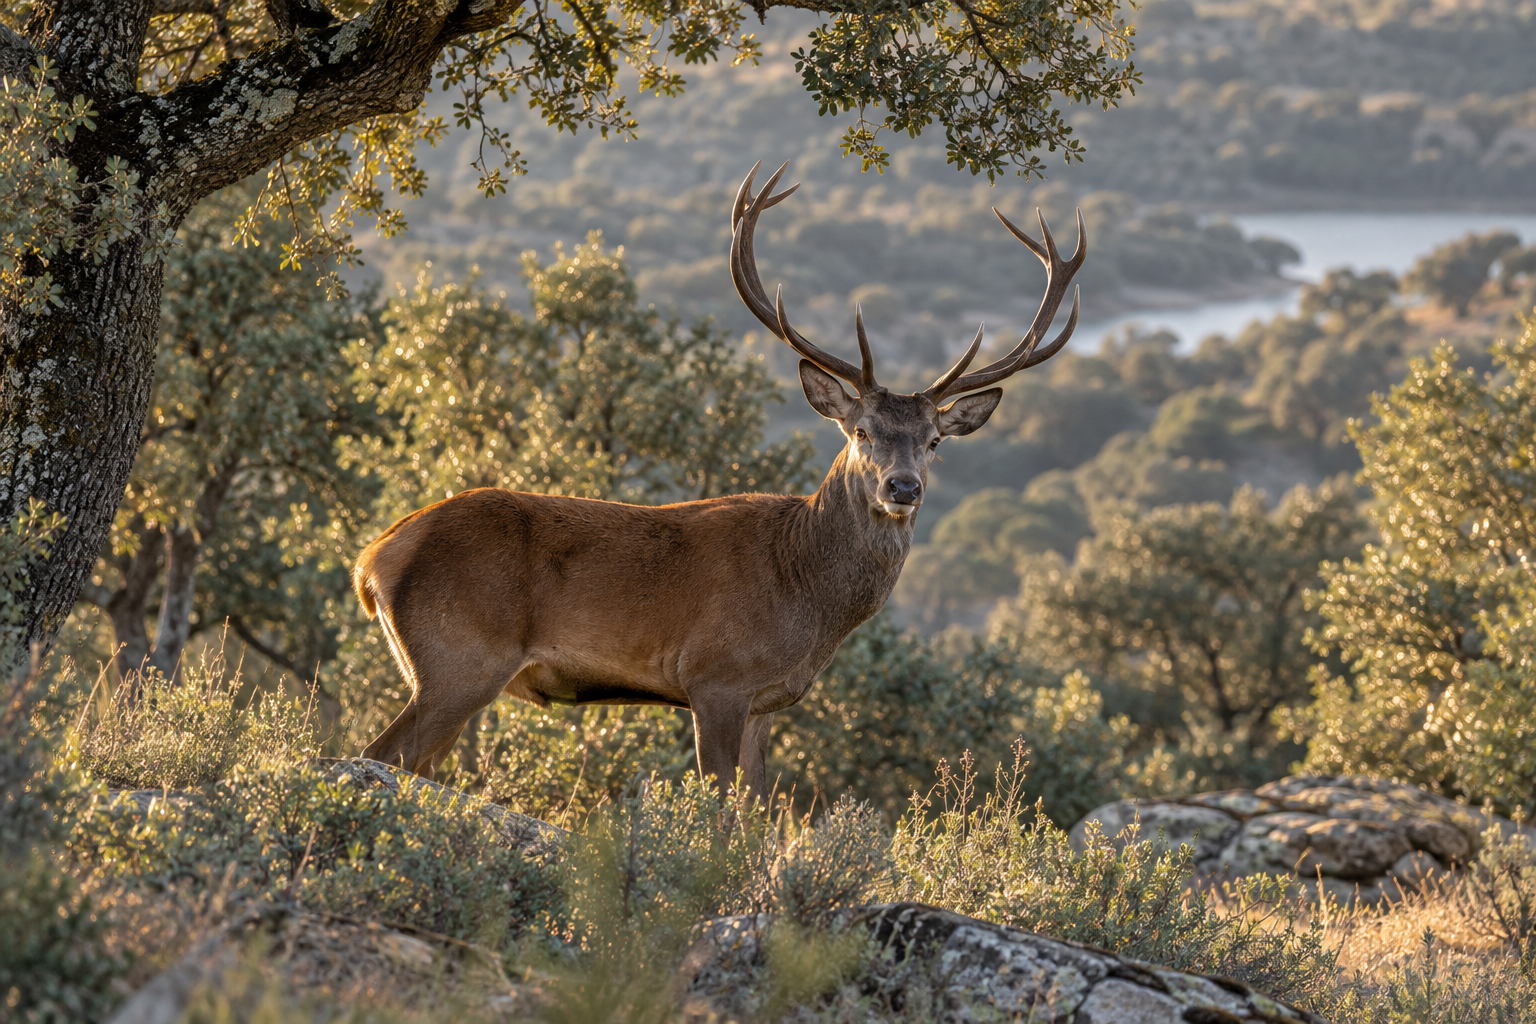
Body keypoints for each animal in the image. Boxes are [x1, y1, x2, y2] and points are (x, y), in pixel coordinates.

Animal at [352, 160, 1085, 797]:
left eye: (934, 441)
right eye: (861, 433)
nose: (902, 488)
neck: (805, 600)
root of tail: (373, 558)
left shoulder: (764, 702)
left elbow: (757, 813)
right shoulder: (714, 679)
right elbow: (717, 813)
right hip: (459, 658)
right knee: (381, 754)